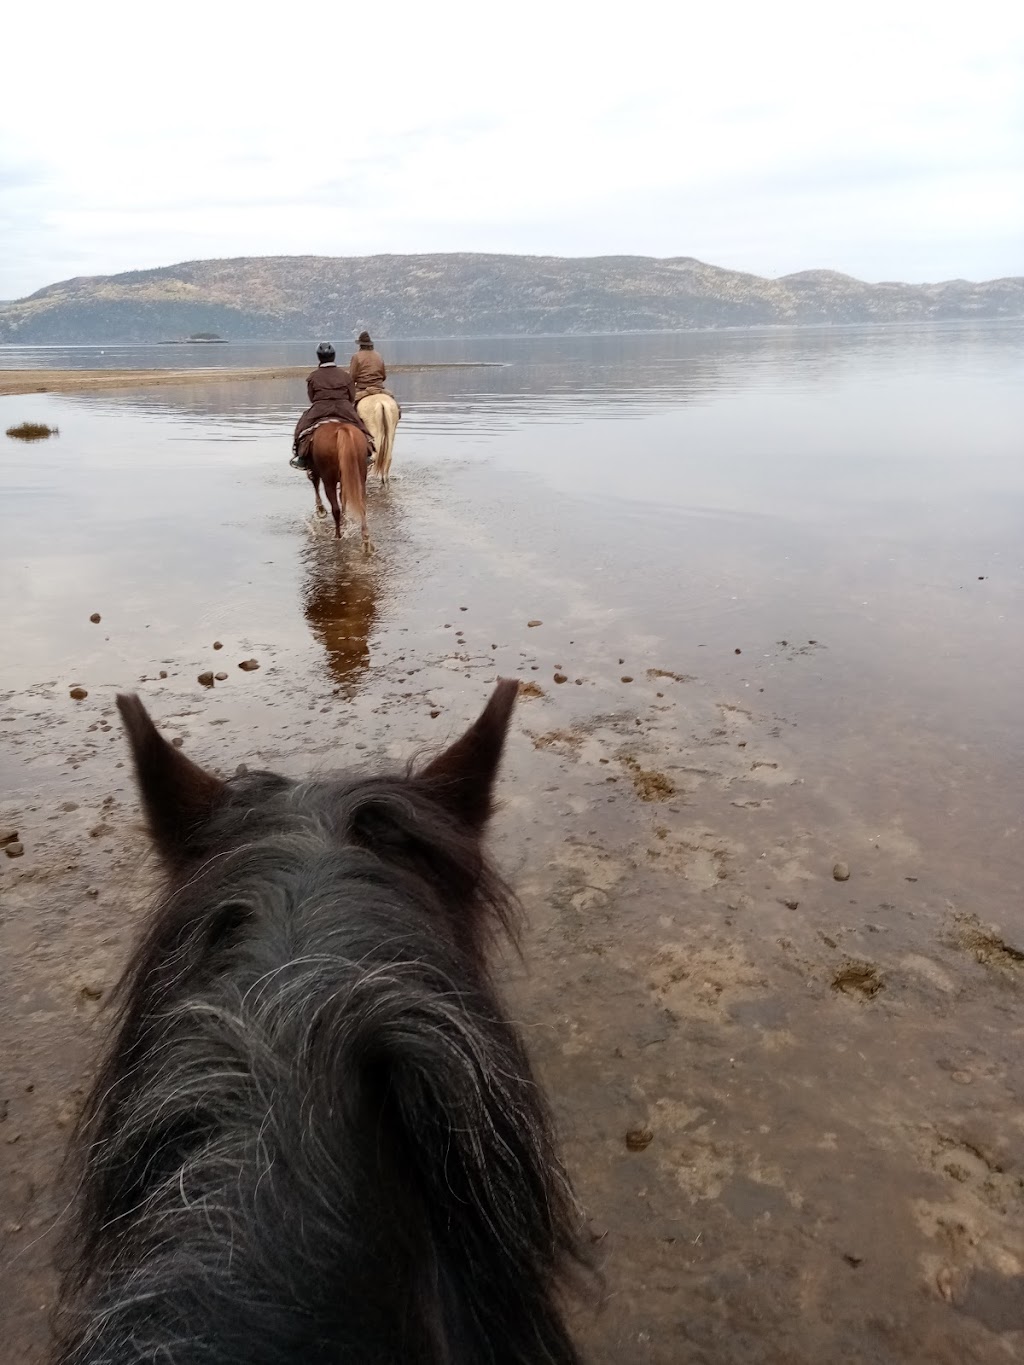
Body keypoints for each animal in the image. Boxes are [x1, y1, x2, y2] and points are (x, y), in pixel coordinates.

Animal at [311, 417, 371, 546]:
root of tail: (342, 429)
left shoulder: (314, 471)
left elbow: (315, 483)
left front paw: (321, 509)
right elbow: (343, 496)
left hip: (328, 479)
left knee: (335, 509)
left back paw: (337, 536)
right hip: (360, 474)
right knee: (362, 504)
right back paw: (365, 537)